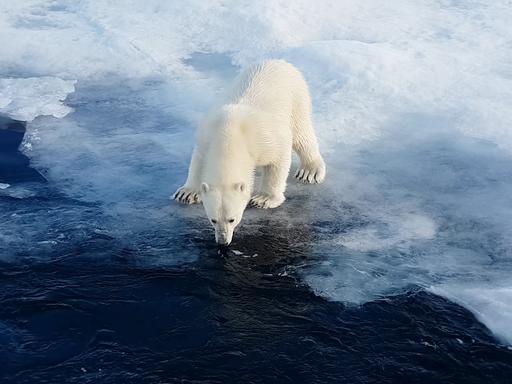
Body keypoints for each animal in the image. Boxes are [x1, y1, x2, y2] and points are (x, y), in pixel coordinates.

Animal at [174, 60, 326, 246]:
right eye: (213, 219)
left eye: (232, 219)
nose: (223, 241)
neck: (229, 135)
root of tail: (279, 61)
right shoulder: (206, 136)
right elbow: (197, 161)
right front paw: (187, 193)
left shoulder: (265, 139)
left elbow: (279, 158)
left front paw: (264, 199)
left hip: (296, 97)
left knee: (301, 133)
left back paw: (310, 171)